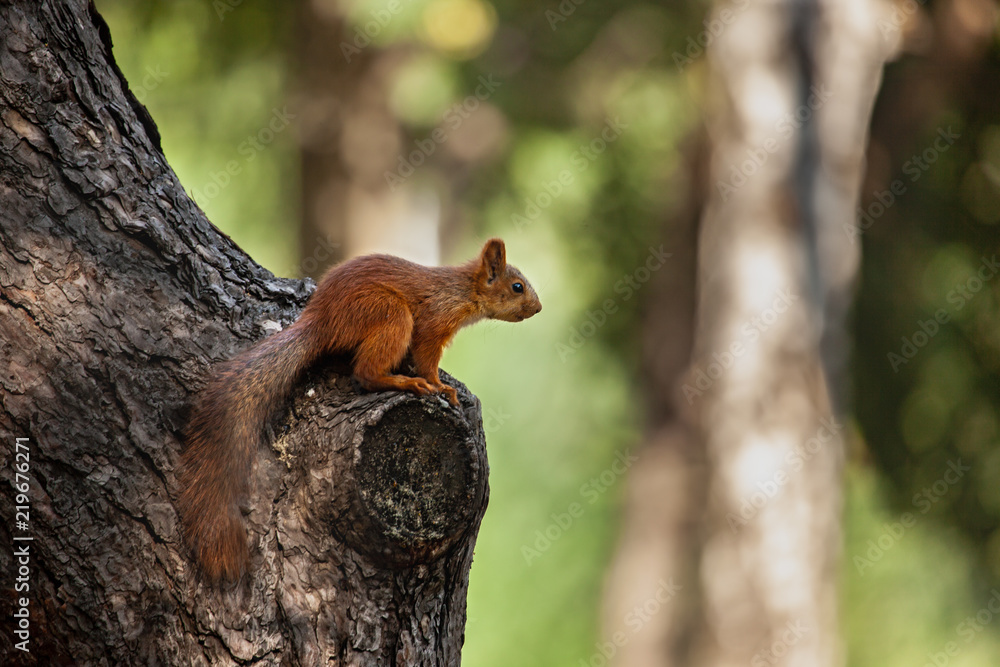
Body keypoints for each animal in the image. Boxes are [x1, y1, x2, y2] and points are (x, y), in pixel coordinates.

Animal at [178, 238, 541, 580]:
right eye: (517, 287)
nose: (538, 308)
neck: (462, 289)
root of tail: (322, 322)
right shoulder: (434, 321)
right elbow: (426, 357)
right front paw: (439, 385)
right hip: (387, 313)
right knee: (366, 372)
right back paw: (404, 383)